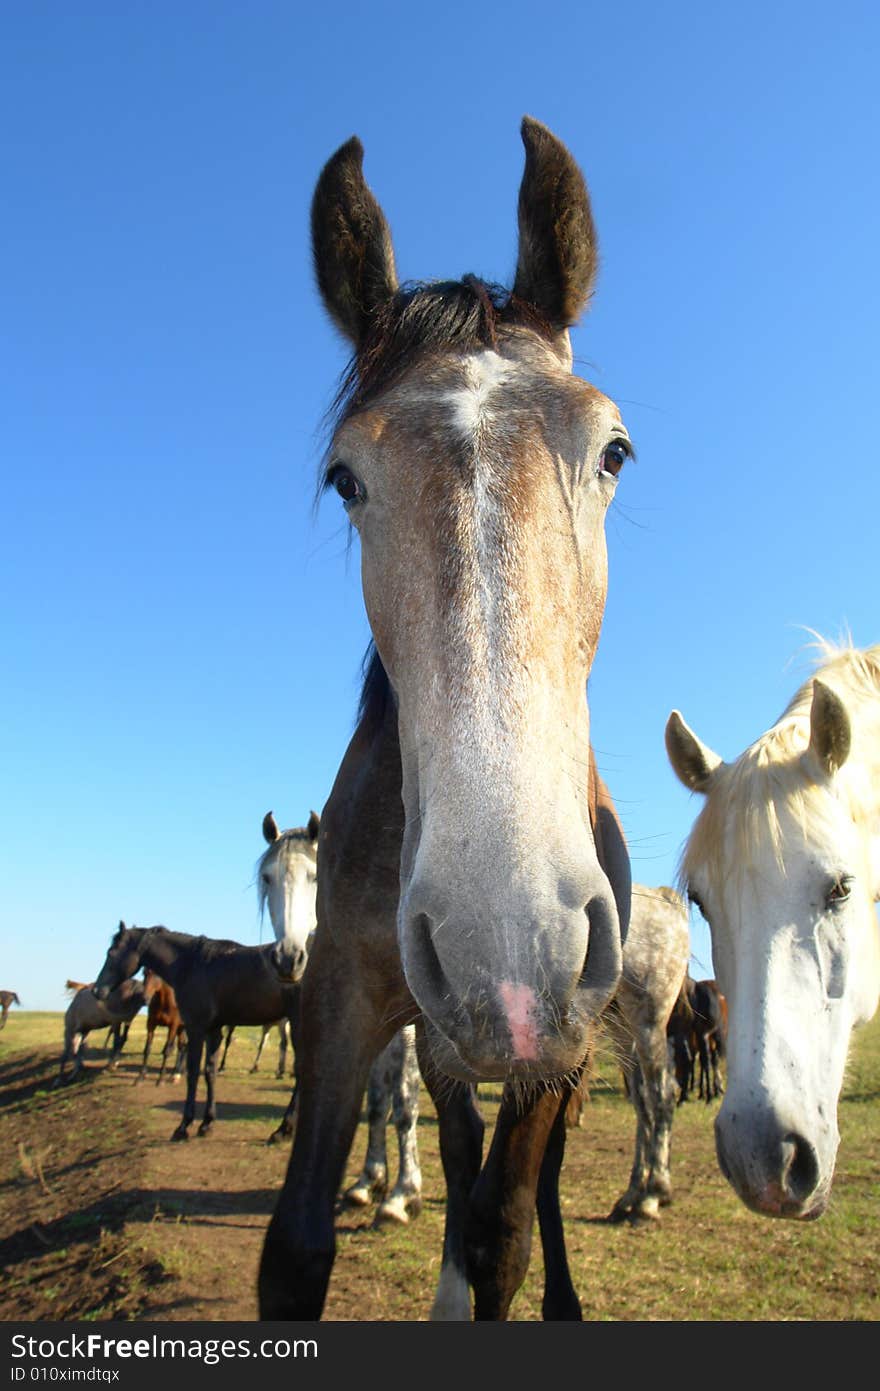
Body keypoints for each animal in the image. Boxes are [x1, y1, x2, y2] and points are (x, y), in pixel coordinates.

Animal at [93, 923, 303, 1140]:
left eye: (111, 952)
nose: (97, 990)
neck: (194, 965)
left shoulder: (196, 1028)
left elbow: (193, 1073)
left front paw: (183, 1126)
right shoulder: (213, 1030)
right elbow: (209, 1072)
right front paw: (207, 1123)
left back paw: (283, 1129)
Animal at [257, 114, 628, 1318]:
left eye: (613, 451)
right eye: (345, 478)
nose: (507, 946)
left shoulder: (557, 1036)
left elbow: (504, 1229)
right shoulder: (339, 1002)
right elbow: (296, 1250)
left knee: (520, 1195)